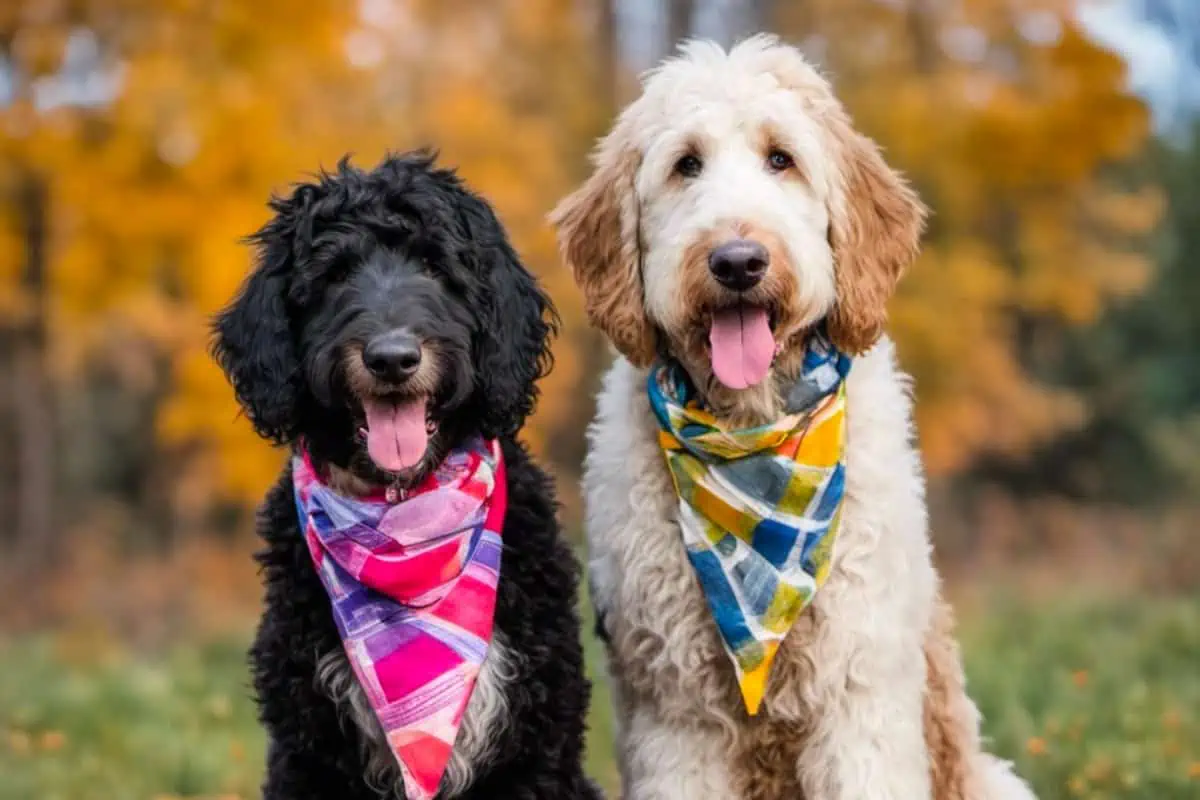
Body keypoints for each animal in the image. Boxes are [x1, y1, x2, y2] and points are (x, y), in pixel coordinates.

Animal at [213, 151, 597, 800]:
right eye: (334, 274)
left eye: (434, 266)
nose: (392, 359)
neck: (405, 512)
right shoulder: (308, 748)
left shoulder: (536, 745)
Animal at [552, 37, 1032, 800]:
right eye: (686, 163)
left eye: (782, 158)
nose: (738, 261)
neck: (754, 443)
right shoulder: (676, 715)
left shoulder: (858, 690)